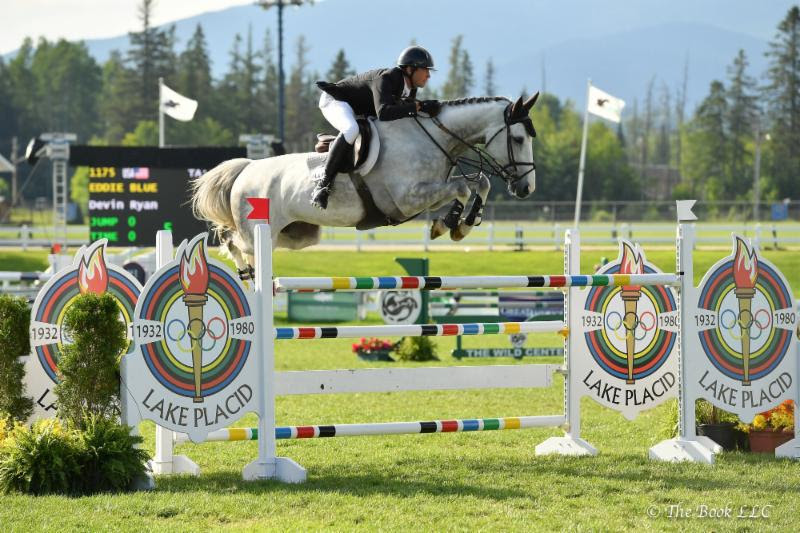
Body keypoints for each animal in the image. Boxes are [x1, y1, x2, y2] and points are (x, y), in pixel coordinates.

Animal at [190, 92, 536, 274]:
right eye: (518, 139)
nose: (526, 189)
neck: (432, 138)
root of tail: (247, 168)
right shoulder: (407, 198)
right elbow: (463, 188)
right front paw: (449, 224)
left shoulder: (427, 193)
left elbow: (480, 184)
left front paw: (464, 223)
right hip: (260, 231)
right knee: (232, 241)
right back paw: (246, 273)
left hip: (296, 235)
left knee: (247, 245)